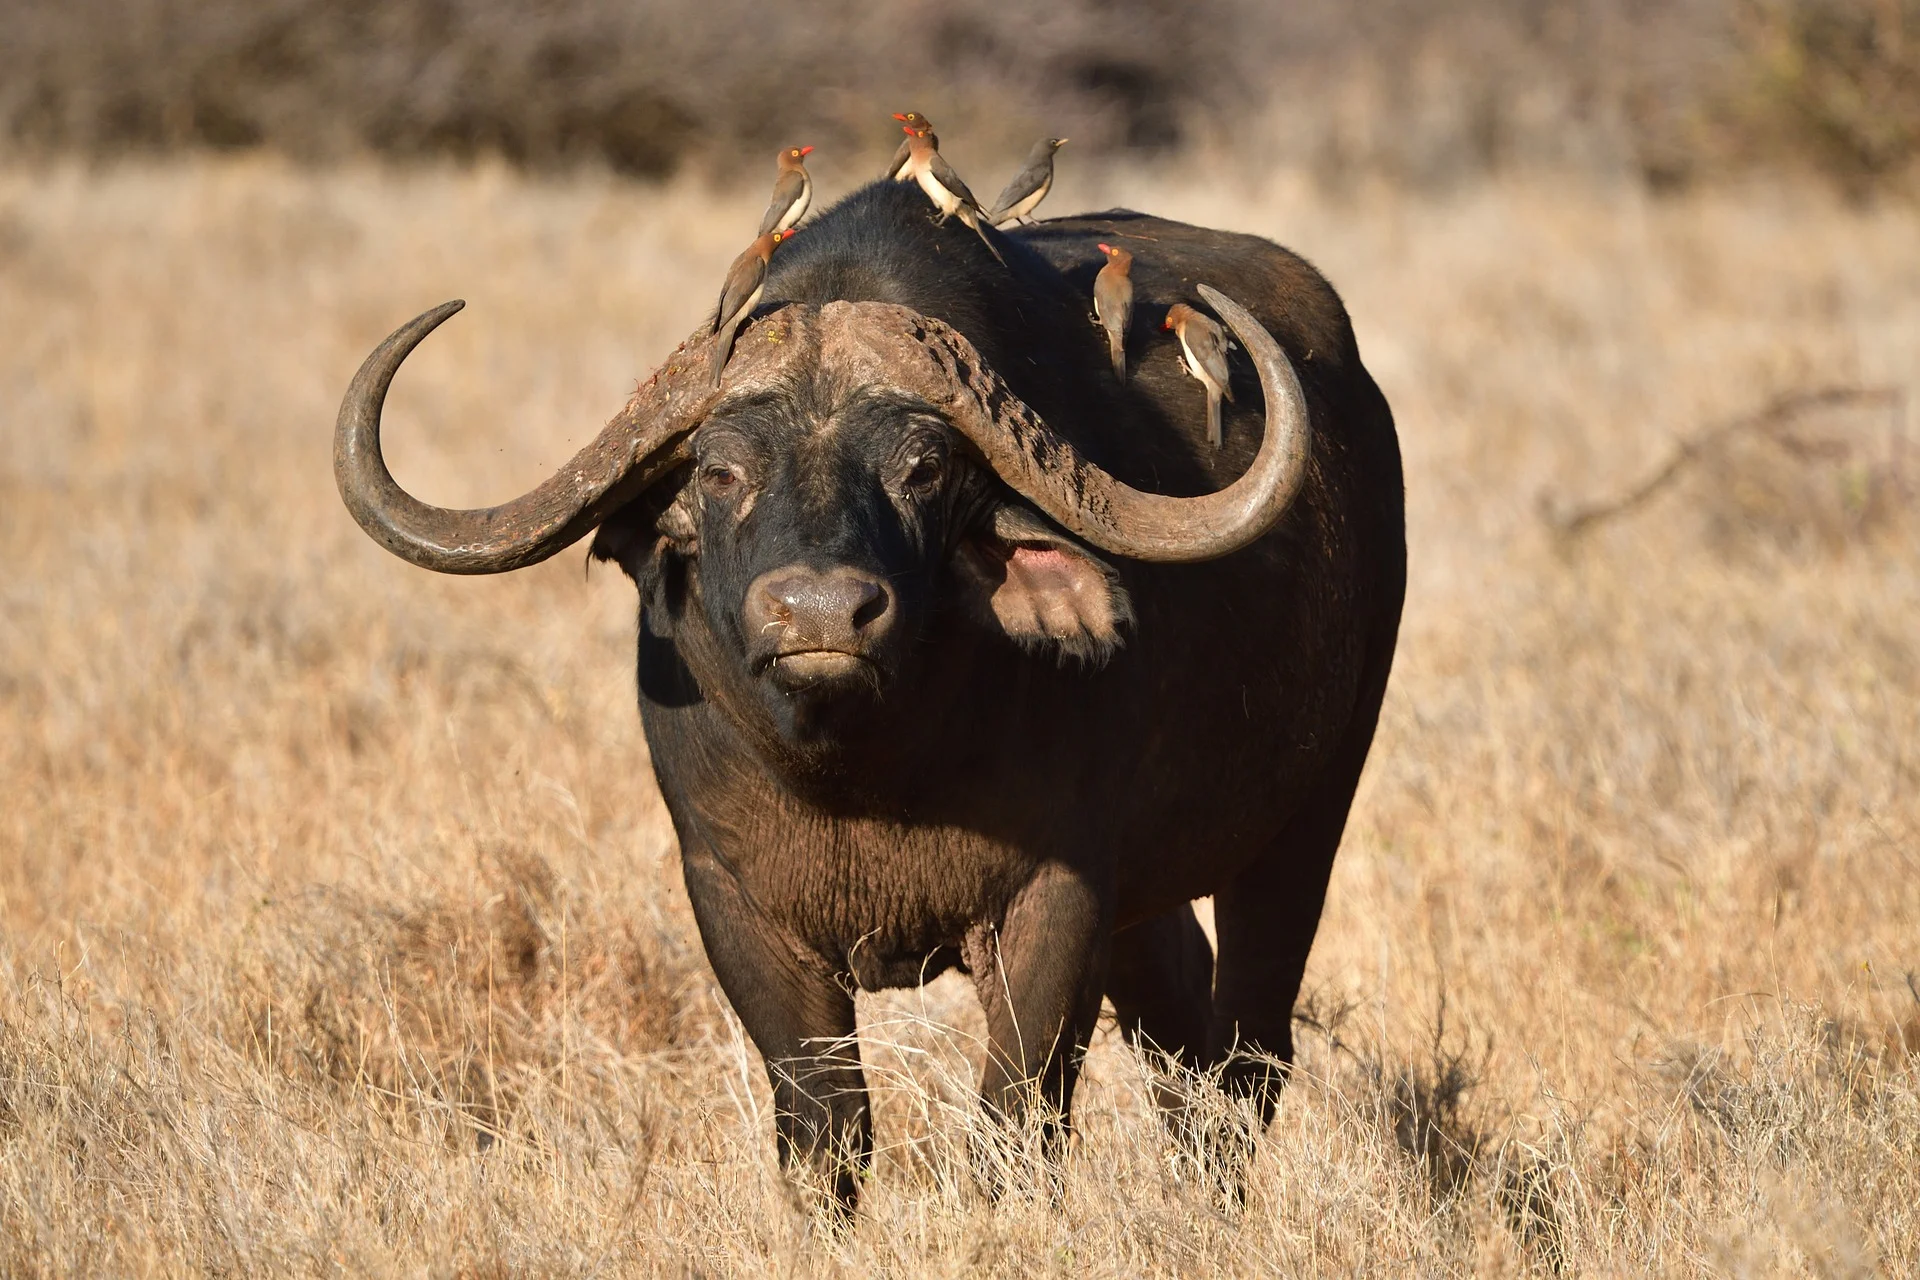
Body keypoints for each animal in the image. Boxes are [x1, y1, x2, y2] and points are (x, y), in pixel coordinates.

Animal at [335, 180, 1406, 1216]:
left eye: (923, 468)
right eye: (719, 470)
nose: (820, 612)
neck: (866, 773)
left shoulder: (1058, 897)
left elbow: (1016, 1124)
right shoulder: (735, 901)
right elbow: (825, 1130)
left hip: (1307, 817)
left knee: (1249, 1048)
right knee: (1182, 1035)